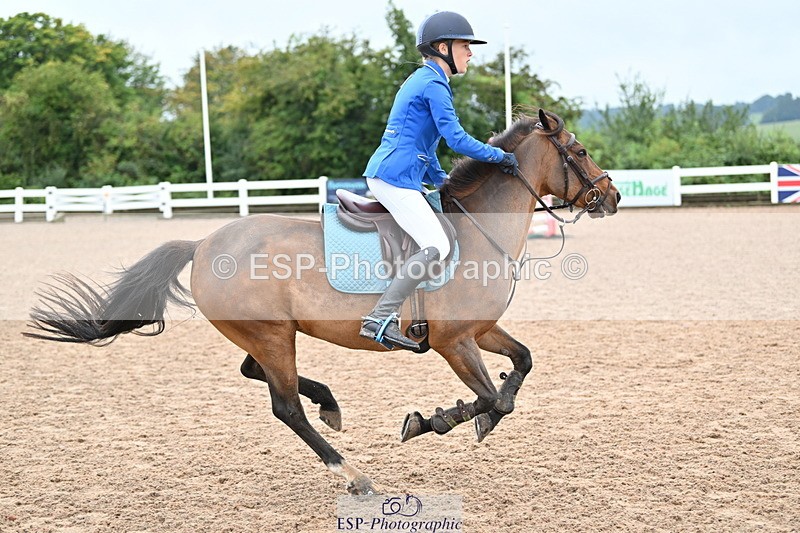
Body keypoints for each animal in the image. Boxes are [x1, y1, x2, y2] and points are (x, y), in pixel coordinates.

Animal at [25, 109, 620, 495]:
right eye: (581, 151)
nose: (612, 196)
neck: (478, 230)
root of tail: (202, 242)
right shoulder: (455, 342)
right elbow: (494, 397)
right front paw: (437, 420)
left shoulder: (479, 332)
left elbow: (521, 364)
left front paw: (469, 419)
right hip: (272, 334)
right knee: (284, 406)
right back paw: (353, 474)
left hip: (269, 333)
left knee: (253, 372)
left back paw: (330, 404)